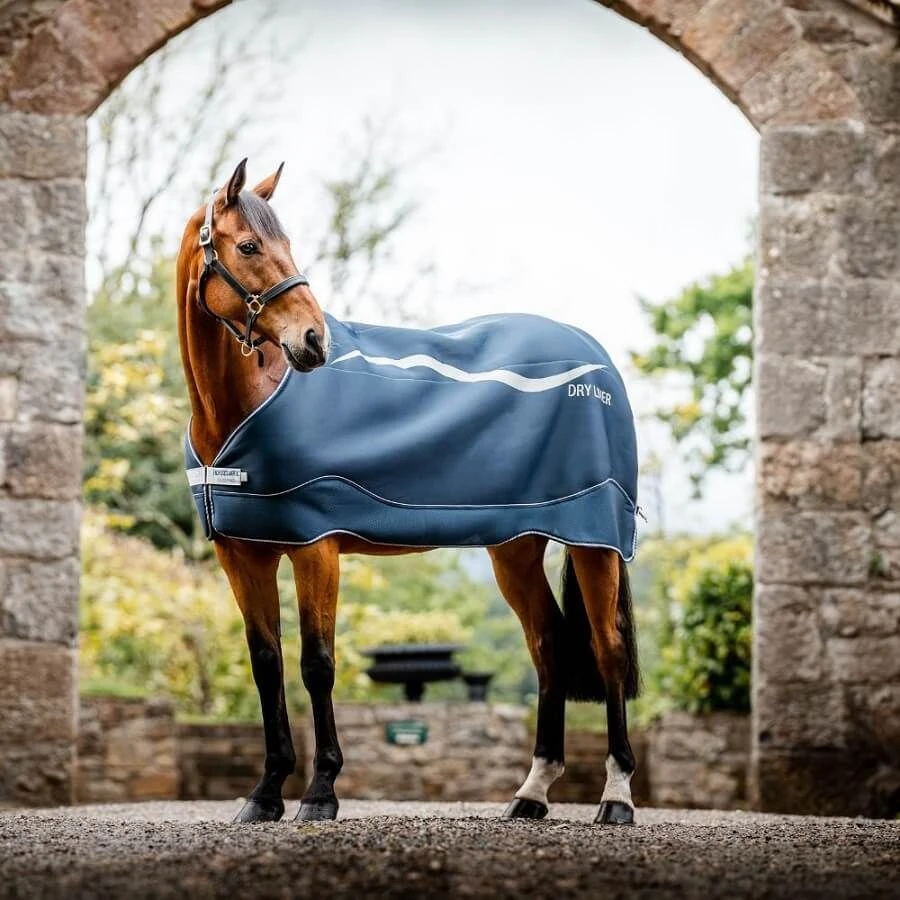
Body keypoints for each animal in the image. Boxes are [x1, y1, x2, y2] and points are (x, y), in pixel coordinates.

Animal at [175, 158, 640, 826]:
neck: (241, 406)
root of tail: (596, 358)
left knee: (608, 652)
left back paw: (616, 797)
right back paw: (530, 794)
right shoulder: (242, 556)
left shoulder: (316, 549)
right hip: (516, 548)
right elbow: (267, 666)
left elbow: (317, 664)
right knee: (549, 645)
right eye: (248, 246)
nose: (314, 341)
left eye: (285, 243)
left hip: (594, 541)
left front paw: (320, 793)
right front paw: (264, 795)